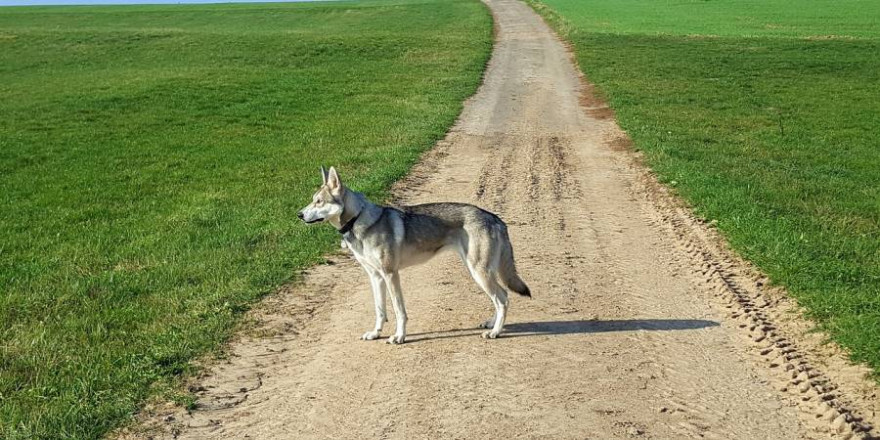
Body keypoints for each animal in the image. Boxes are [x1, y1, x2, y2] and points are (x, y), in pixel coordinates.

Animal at [300, 167, 528, 342]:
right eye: (312, 200)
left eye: (319, 202)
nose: (299, 214)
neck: (359, 220)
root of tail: (495, 218)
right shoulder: (375, 277)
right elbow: (380, 310)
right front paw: (375, 334)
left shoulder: (391, 275)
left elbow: (399, 311)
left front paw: (399, 337)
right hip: (479, 271)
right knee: (503, 295)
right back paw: (491, 324)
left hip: (479, 272)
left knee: (502, 299)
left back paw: (495, 332)